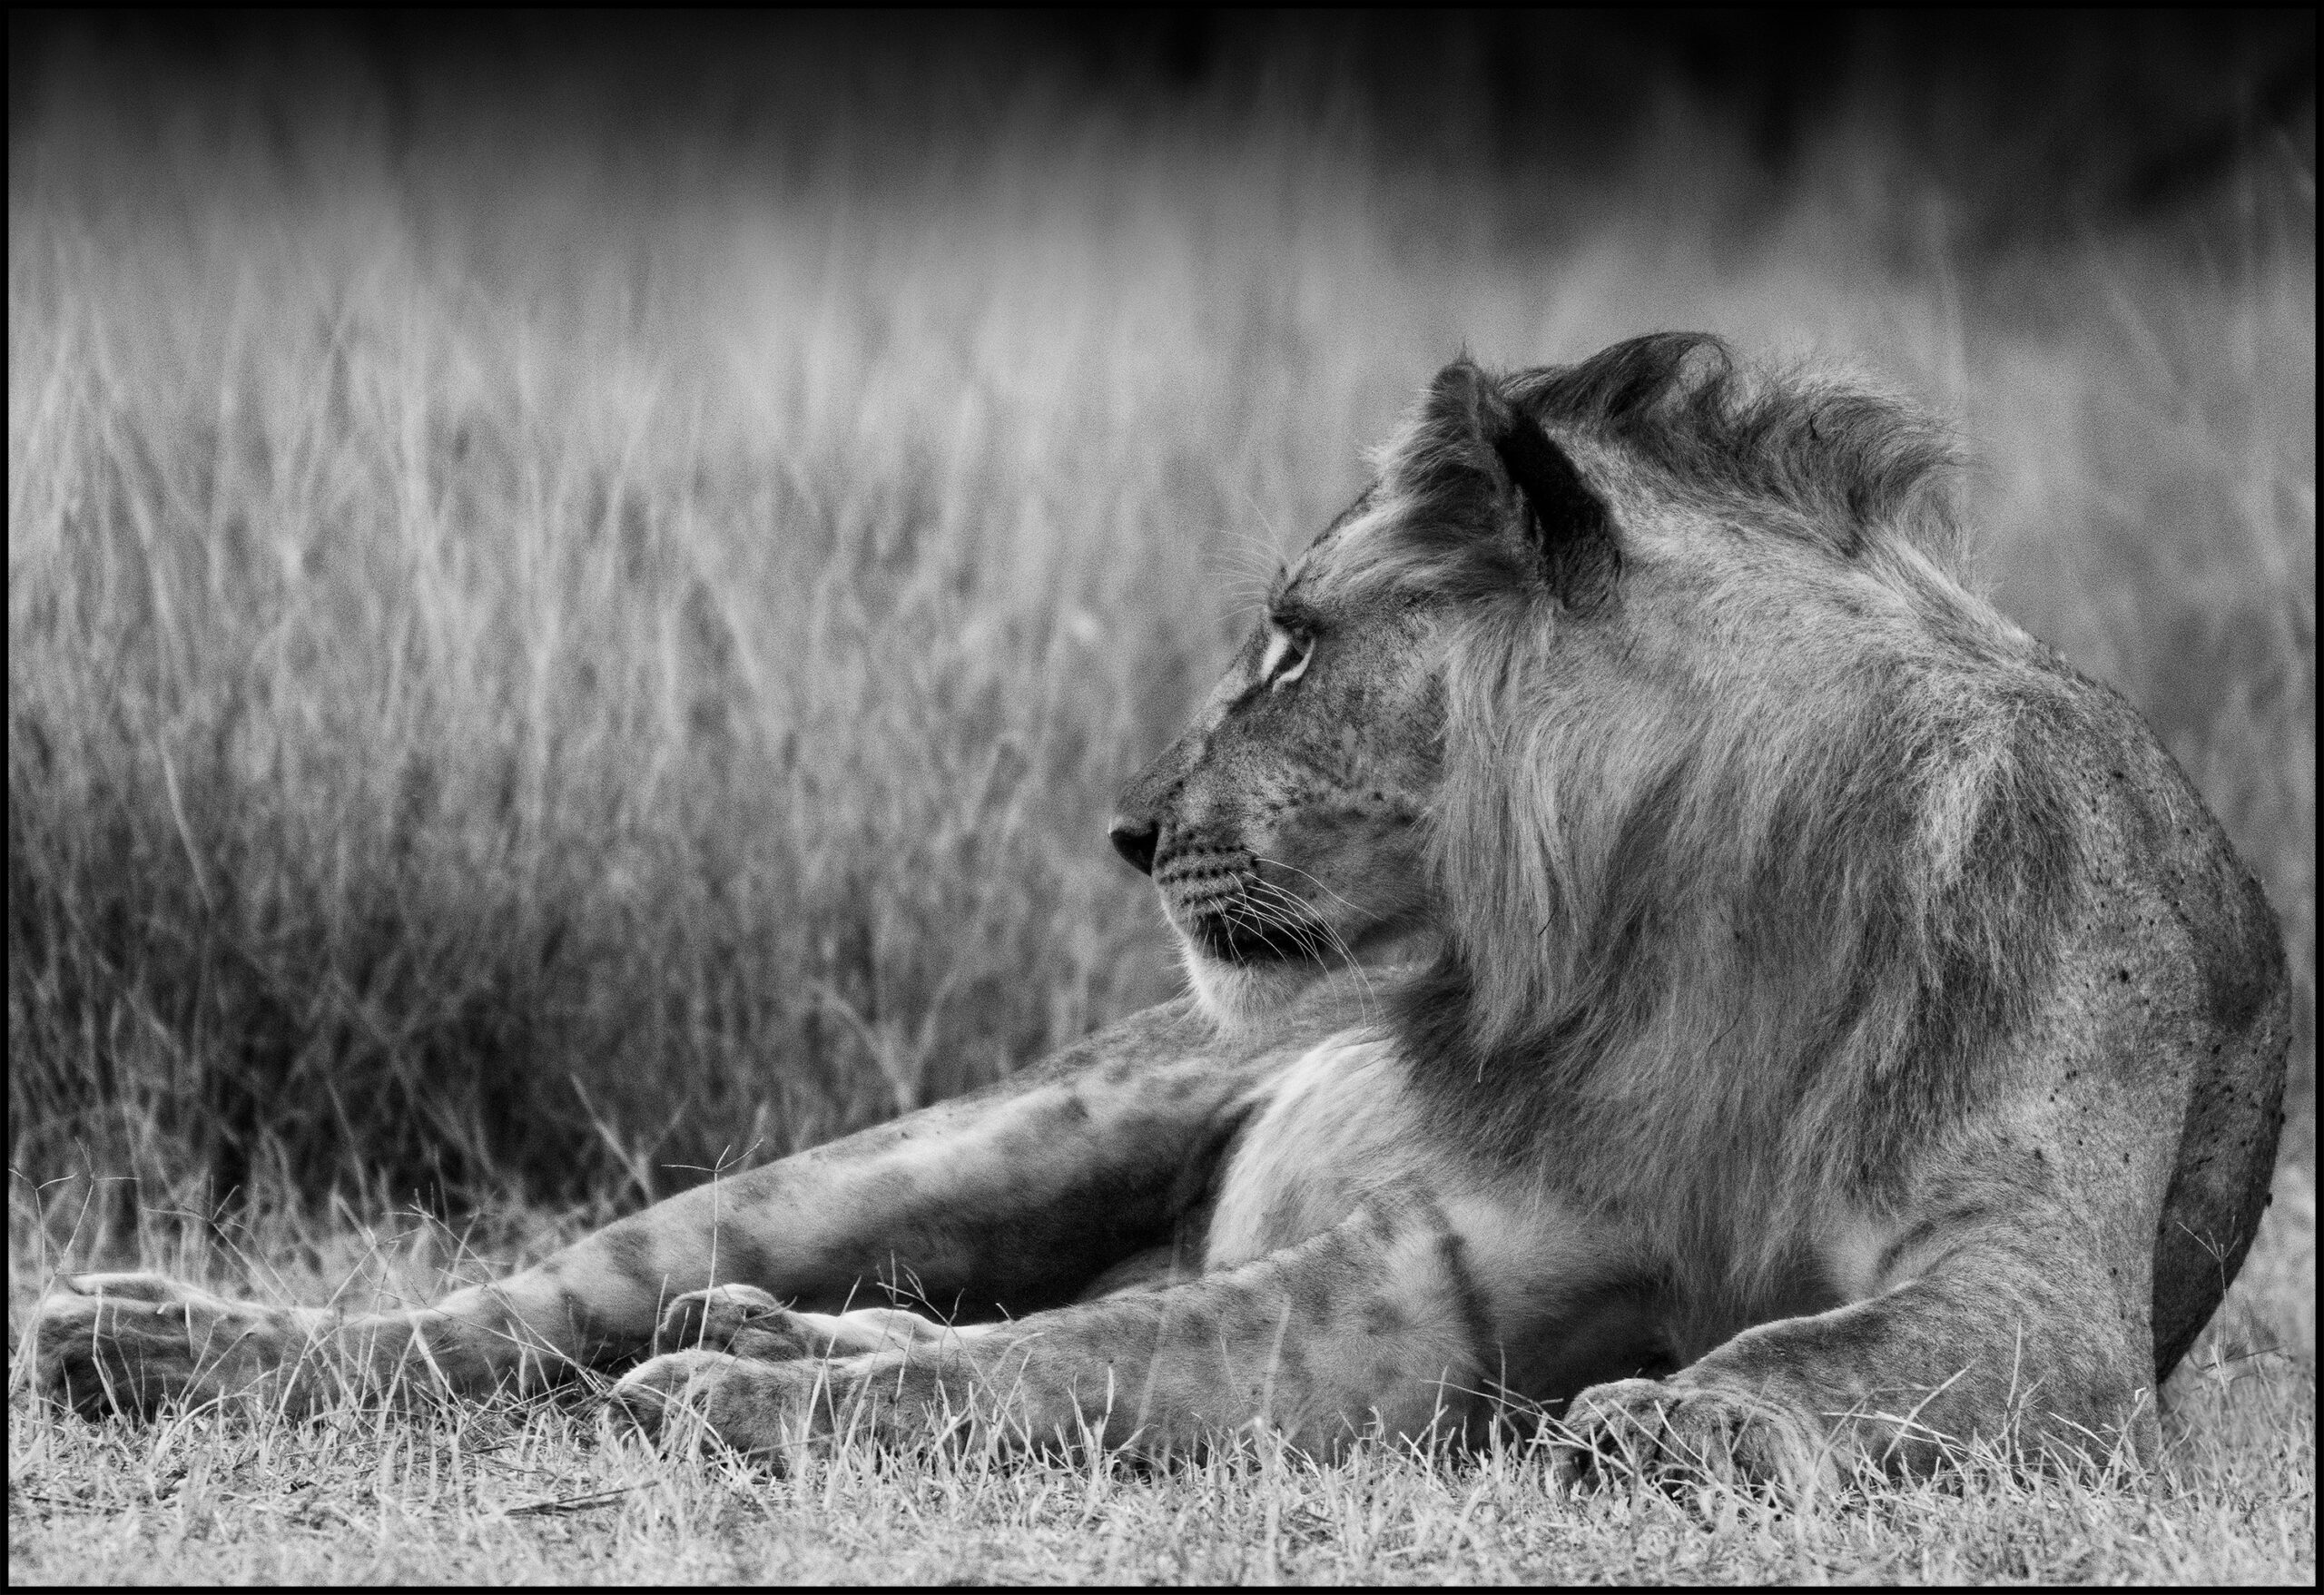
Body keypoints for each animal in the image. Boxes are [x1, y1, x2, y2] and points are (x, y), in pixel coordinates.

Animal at [37, 335, 2287, 1495]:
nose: (1127, 830)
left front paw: (1677, 1415)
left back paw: (759, 1333)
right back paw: (140, 1336)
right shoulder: (1449, 1269)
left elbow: (1843, 1354)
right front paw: (762, 1412)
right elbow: (1103, 1356)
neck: (1670, 931)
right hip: (976, 1133)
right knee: (506, 1310)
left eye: (1291, 641)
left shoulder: (2035, 1295)